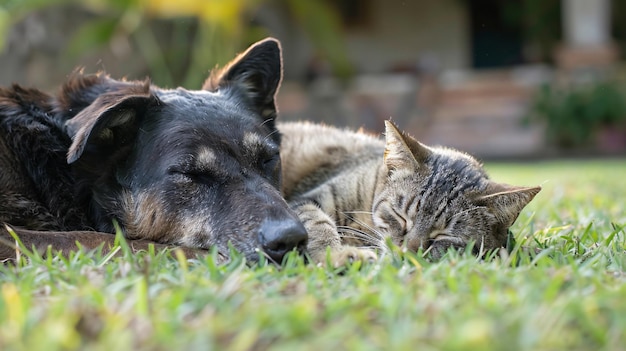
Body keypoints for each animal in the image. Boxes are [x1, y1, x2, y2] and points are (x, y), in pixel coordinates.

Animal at [276, 121, 540, 266]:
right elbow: (320, 225)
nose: (408, 251)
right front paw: (340, 255)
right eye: (400, 216)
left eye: (443, 235)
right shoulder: (309, 201)